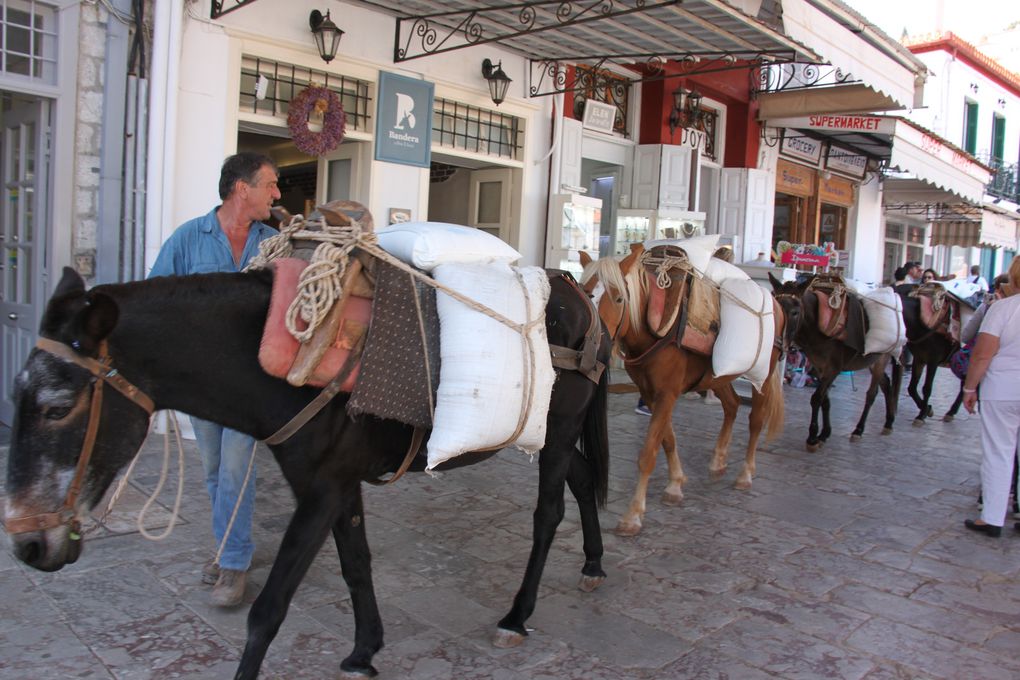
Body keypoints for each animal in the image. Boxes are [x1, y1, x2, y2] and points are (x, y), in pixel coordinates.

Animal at [579, 245, 783, 538]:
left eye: (618, 298)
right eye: (584, 291)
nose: (594, 345)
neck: (655, 329)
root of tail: (775, 303)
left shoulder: (667, 393)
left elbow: (648, 452)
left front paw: (633, 515)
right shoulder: (650, 392)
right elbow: (668, 439)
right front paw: (675, 484)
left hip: (764, 373)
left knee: (756, 419)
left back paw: (745, 473)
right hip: (717, 375)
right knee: (732, 405)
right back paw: (718, 461)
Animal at [767, 273, 905, 448]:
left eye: (795, 312)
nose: (777, 341)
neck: (816, 327)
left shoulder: (833, 369)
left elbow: (816, 398)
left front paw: (812, 437)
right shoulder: (820, 368)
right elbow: (825, 400)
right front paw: (824, 434)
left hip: (882, 358)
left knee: (872, 394)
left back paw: (858, 430)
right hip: (872, 362)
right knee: (886, 385)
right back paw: (889, 422)